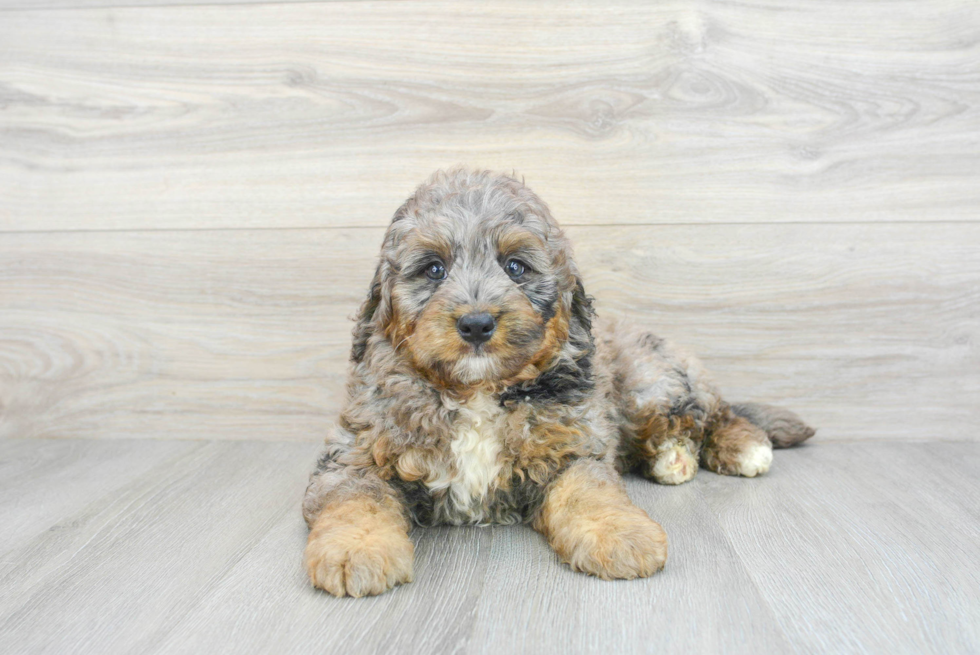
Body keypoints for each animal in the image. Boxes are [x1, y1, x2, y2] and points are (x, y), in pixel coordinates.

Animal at [302, 167, 816, 596]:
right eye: (433, 269)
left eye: (516, 267)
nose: (476, 324)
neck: (478, 393)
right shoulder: (354, 455)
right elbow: (356, 499)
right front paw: (356, 550)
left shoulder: (571, 449)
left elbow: (590, 493)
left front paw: (622, 535)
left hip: (651, 382)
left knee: (712, 413)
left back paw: (737, 448)